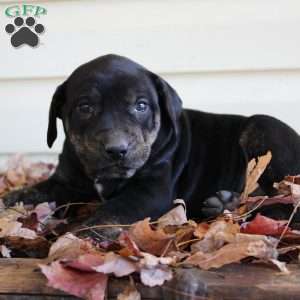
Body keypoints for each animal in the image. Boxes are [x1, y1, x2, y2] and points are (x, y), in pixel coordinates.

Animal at [3, 54, 300, 232]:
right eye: (85, 107)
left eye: (141, 106)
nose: (117, 149)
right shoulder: (65, 182)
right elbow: (28, 194)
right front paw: (9, 202)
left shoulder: (150, 191)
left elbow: (108, 214)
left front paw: (76, 237)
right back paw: (224, 204)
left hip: (263, 129)